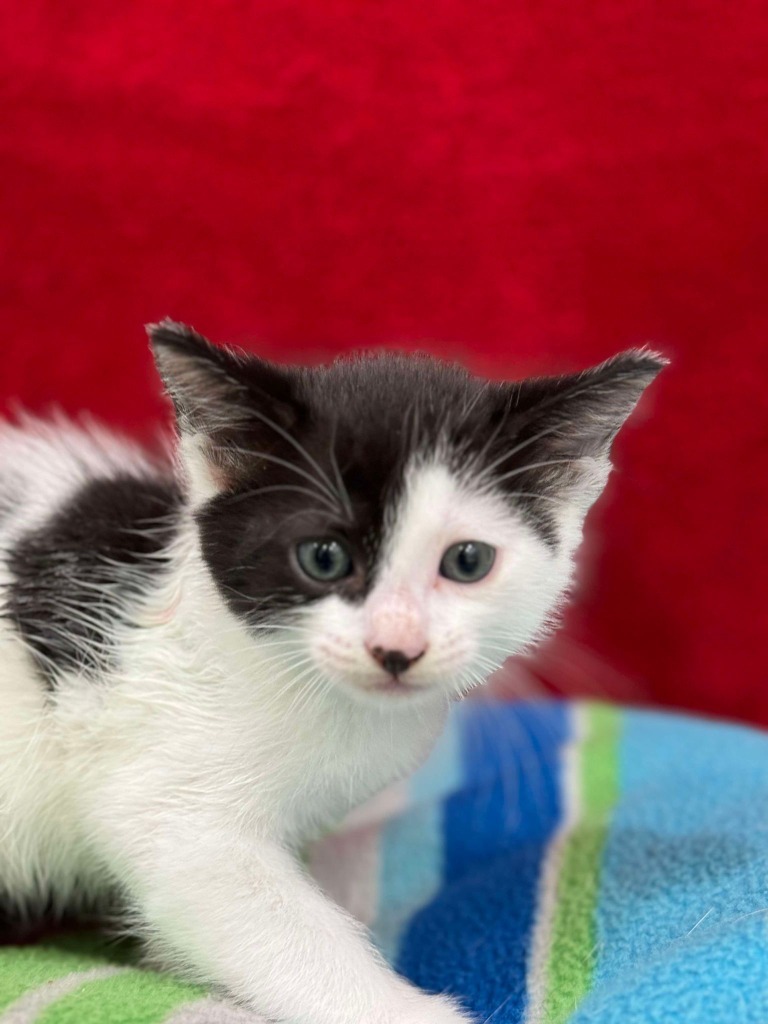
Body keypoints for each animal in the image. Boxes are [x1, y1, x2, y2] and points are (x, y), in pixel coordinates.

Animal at [0, 321, 663, 1024]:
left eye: (467, 561)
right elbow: (266, 916)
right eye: (323, 557)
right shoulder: (164, 794)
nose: (395, 647)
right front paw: (409, 1011)